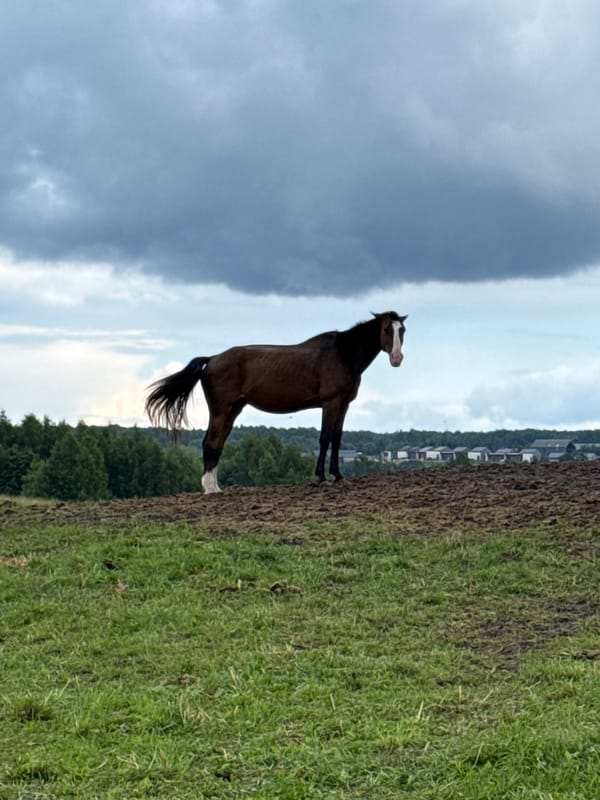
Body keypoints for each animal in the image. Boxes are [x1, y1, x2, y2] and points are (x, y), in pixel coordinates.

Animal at [145, 311, 407, 493]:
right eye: (386, 329)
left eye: (402, 330)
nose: (397, 358)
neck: (342, 354)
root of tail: (212, 359)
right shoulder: (330, 403)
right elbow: (325, 438)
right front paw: (321, 477)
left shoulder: (343, 405)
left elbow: (337, 438)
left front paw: (338, 475)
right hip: (221, 410)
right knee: (210, 442)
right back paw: (210, 488)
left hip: (232, 410)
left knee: (218, 443)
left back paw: (216, 487)